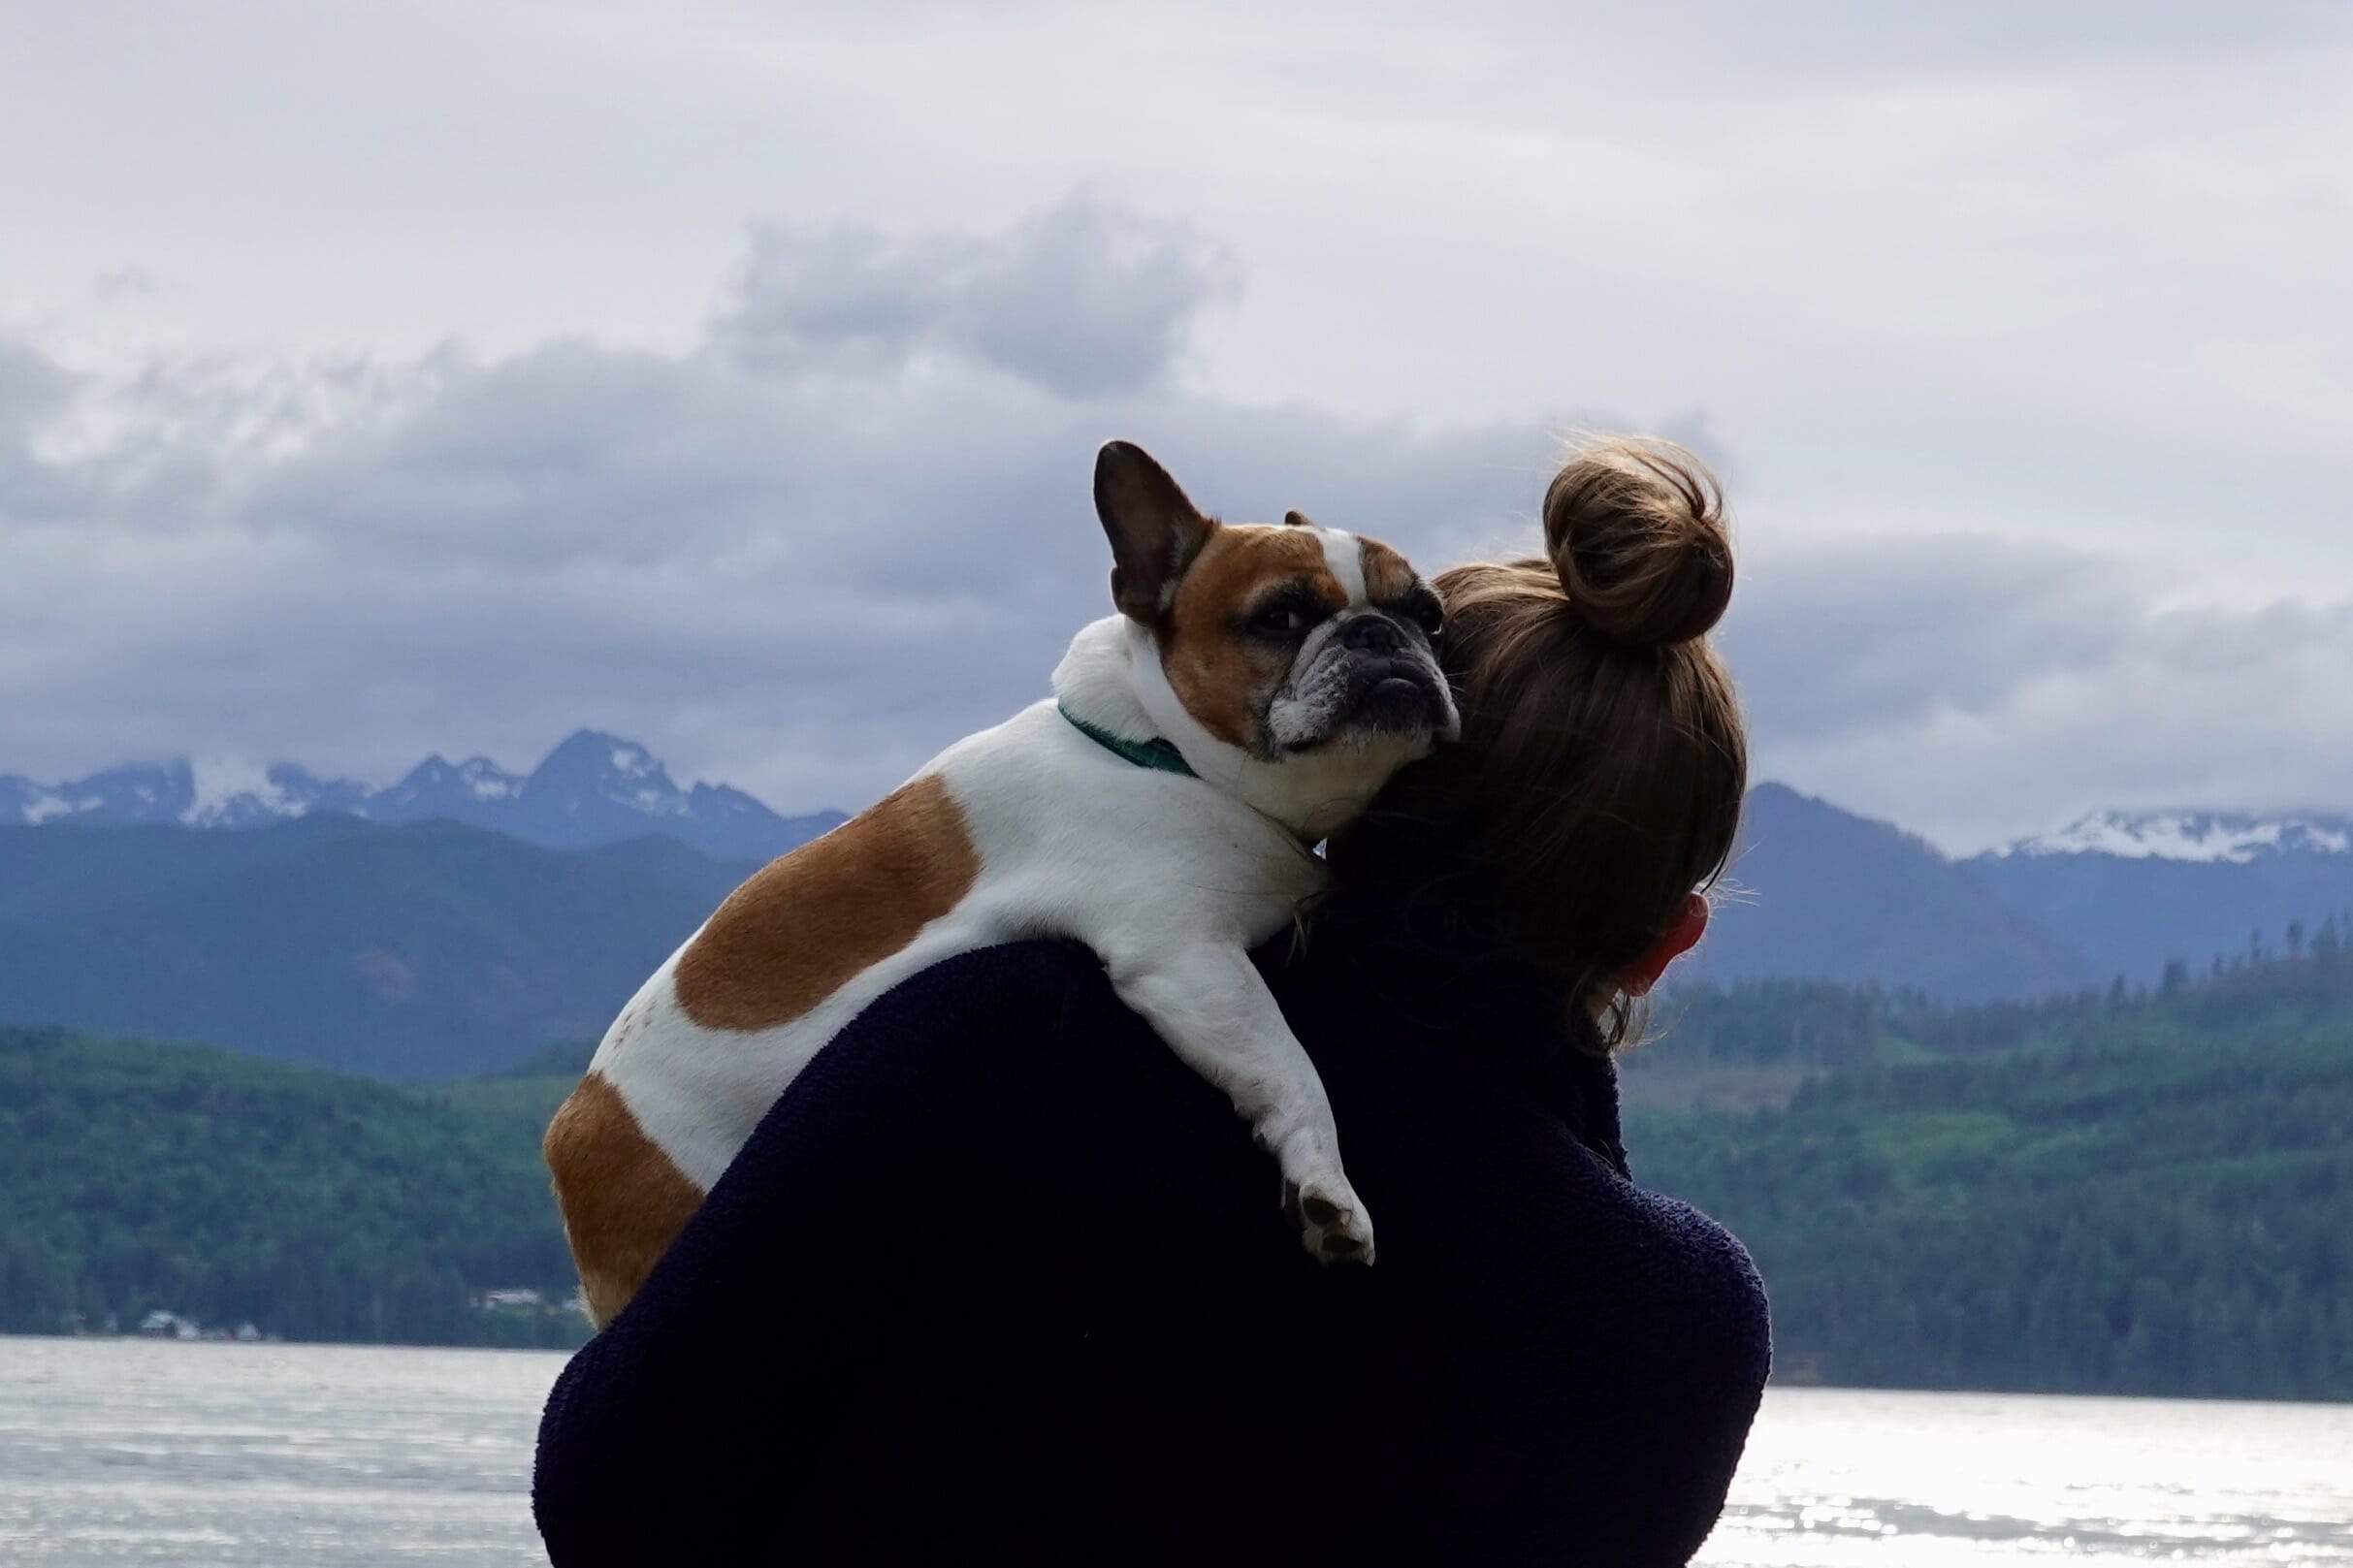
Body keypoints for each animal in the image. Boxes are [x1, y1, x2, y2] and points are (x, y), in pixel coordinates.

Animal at [545, 439, 1449, 1326]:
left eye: (1428, 615)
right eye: (1281, 616)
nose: (1382, 635)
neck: (1166, 753)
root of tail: (570, 1132)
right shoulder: (1189, 957)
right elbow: (1292, 1066)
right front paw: (1327, 1188)